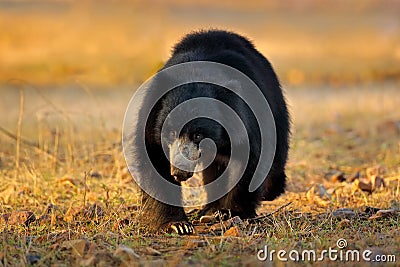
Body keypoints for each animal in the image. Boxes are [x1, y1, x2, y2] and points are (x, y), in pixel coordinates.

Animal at [128, 29, 290, 234]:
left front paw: (231, 212)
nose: (179, 172)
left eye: (198, 135)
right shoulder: (151, 120)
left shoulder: (248, 120)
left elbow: (249, 160)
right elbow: (155, 160)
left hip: (276, 110)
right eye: (170, 133)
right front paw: (177, 225)